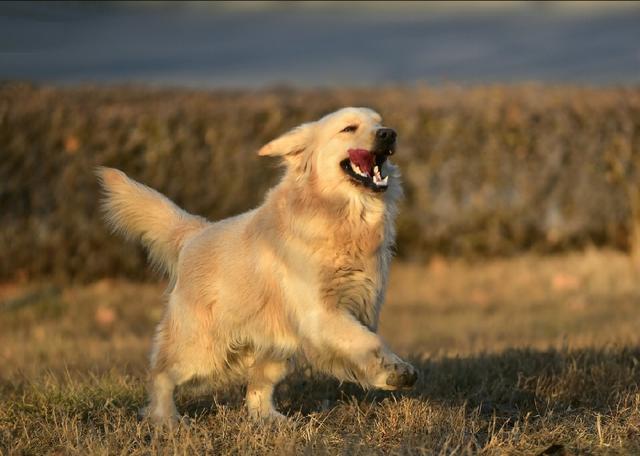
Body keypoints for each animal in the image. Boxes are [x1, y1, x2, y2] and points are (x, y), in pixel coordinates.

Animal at [95, 107, 416, 424]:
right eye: (348, 128)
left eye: (380, 122)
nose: (389, 134)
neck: (341, 215)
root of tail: (195, 233)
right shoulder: (321, 313)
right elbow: (365, 340)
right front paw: (395, 371)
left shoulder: (361, 304)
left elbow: (365, 341)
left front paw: (389, 372)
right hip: (204, 349)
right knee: (161, 373)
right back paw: (166, 420)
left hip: (274, 347)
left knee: (257, 387)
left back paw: (270, 419)